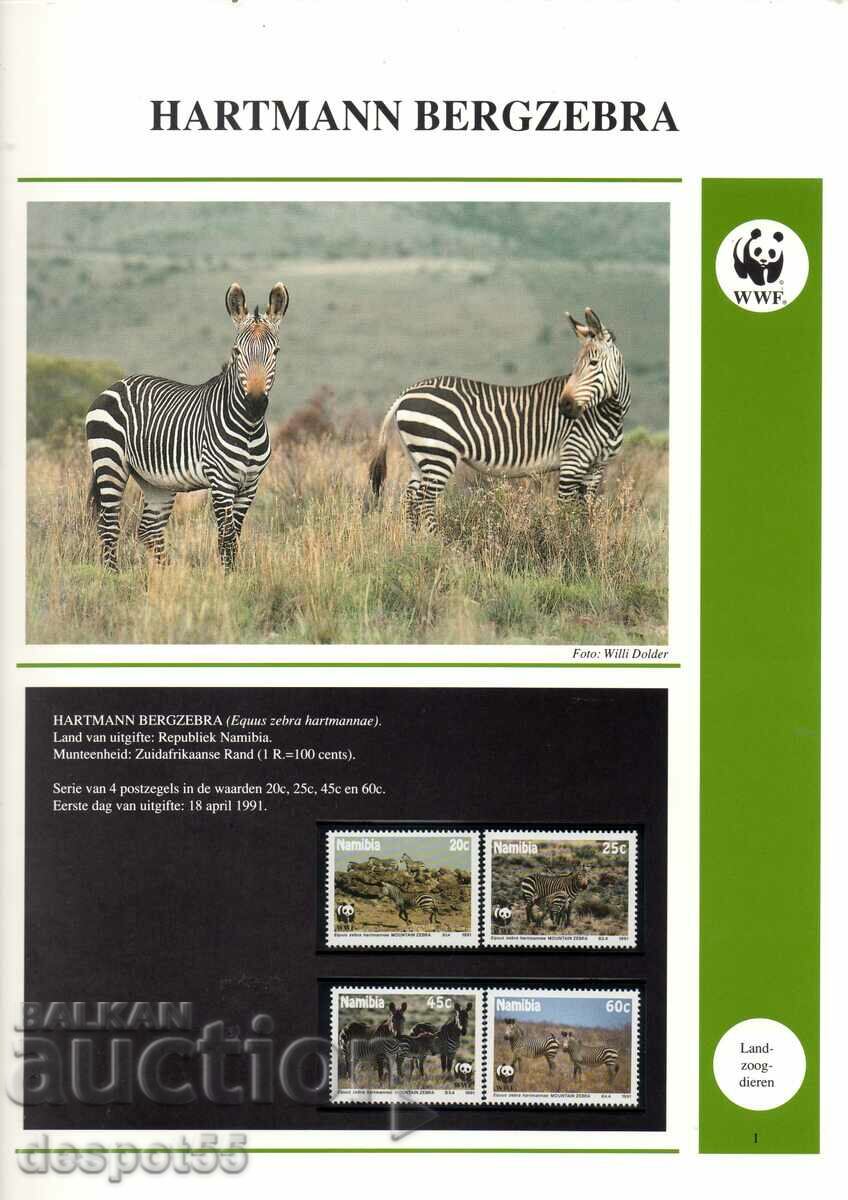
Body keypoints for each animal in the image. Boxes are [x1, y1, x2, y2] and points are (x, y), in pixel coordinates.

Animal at [86, 281, 289, 571]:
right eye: (236, 352)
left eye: (275, 352)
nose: (255, 404)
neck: (249, 428)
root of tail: (115, 385)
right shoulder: (221, 482)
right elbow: (226, 537)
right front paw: (228, 578)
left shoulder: (251, 484)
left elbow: (235, 536)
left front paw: (234, 575)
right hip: (110, 462)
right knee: (109, 526)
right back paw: (113, 574)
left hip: (155, 481)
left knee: (148, 529)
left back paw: (166, 574)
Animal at [368, 307, 631, 531]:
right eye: (576, 365)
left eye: (593, 363)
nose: (564, 406)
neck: (609, 413)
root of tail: (405, 393)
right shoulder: (572, 461)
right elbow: (567, 512)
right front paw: (568, 546)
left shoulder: (596, 467)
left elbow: (587, 514)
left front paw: (587, 543)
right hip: (438, 454)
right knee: (425, 500)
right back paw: (436, 543)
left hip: (418, 457)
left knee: (410, 498)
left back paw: (414, 542)